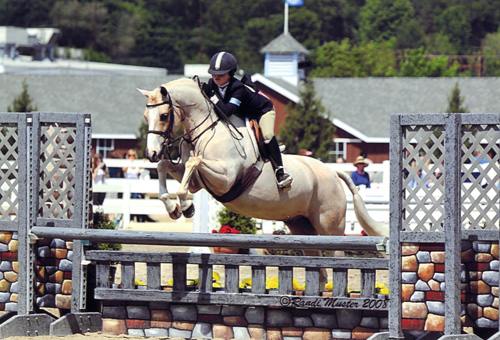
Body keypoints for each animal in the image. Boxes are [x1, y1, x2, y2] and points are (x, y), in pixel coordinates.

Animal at [138, 78, 390, 240]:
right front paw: (175, 206)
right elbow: (165, 166)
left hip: (330, 226)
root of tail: (333, 172)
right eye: (146, 115)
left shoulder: (225, 178)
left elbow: (193, 162)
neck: (207, 130)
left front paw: (183, 202)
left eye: (164, 115)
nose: (151, 153)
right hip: (302, 225)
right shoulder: (198, 181)